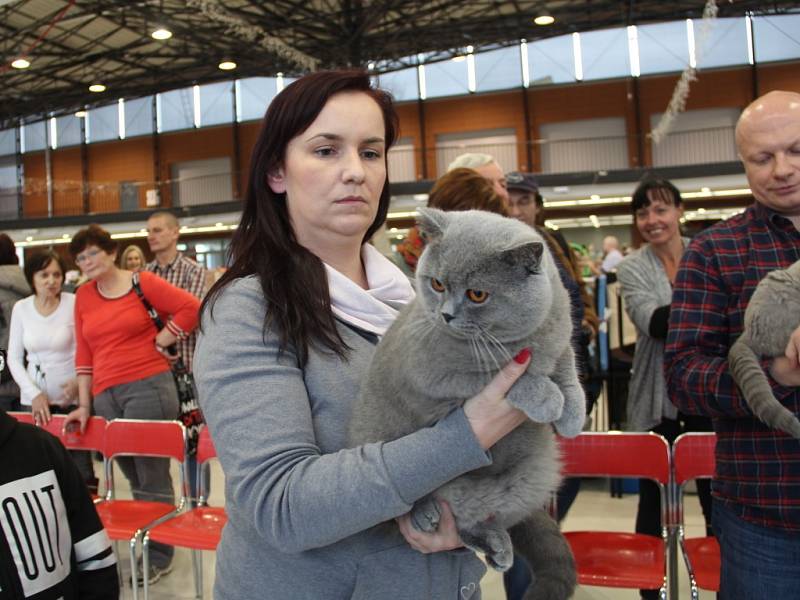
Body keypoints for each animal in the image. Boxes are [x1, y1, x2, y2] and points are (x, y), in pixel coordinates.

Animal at [346, 209, 584, 596]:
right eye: (437, 284)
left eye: (477, 294)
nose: (446, 315)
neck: (527, 339)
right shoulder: (437, 373)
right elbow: (501, 375)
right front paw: (548, 399)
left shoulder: (560, 338)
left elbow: (568, 365)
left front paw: (572, 415)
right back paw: (425, 513)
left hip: (530, 477)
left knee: (477, 523)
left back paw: (499, 546)